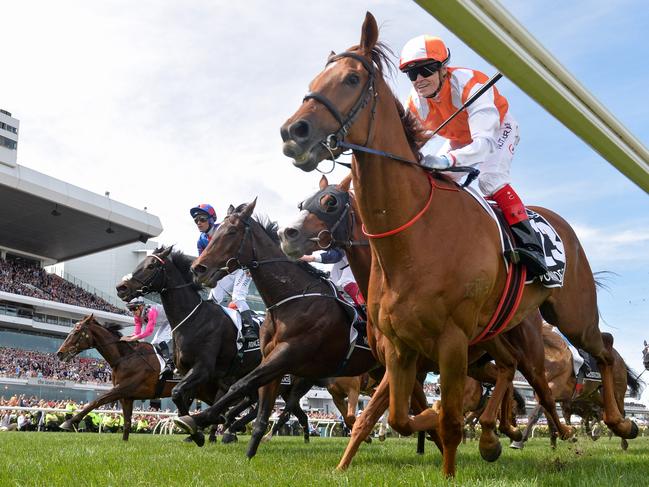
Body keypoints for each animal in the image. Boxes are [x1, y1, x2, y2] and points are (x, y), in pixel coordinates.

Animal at [56, 316, 218, 442]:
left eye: (76, 332)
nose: (59, 353)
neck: (125, 357)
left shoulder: (122, 389)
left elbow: (97, 401)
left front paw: (70, 422)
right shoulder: (126, 396)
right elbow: (127, 421)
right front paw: (124, 442)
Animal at [176, 200, 380, 460]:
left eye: (232, 232)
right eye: (215, 233)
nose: (198, 269)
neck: (290, 299)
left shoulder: (287, 353)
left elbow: (240, 385)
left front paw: (199, 420)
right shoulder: (271, 359)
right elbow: (259, 411)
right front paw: (245, 451)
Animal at [278, 175, 572, 468]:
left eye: (330, 203)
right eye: (302, 203)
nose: (289, 234)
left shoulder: (404, 363)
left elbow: (384, 414)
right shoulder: (403, 366)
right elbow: (383, 415)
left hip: (526, 355)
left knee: (541, 391)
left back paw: (549, 433)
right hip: (479, 361)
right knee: (506, 374)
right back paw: (502, 431)